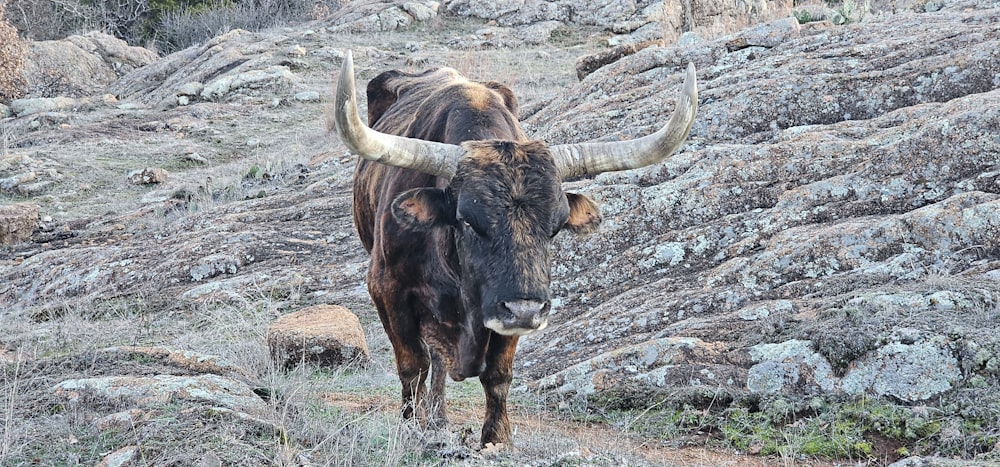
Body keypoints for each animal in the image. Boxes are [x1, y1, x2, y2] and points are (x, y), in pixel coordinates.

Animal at [334, 49, 696, 448]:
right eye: (467, 220)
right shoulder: (387, 290)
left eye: (556, 226)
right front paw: (411, 427)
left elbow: (498, 375)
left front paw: (496, 438)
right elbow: (412, 366)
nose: (524, 310)